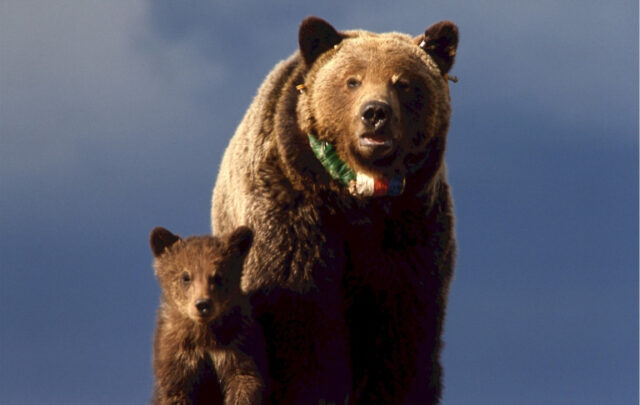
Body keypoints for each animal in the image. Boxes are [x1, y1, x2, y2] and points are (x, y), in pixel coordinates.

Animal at [149, 226, 267, 405]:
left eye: (218, 276)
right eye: (186, 276)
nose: (203, 304)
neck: (204, 337)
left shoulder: (238, 347)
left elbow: (245, 384)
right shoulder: (176, 359)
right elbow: (174, 391)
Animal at [211, 17, 458, 405]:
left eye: (403, 82)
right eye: (352, 80)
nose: (375, 113)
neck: (356, 200)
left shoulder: (410, 235)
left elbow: (402, 337)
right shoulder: (293, 216)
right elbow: (302, 326)